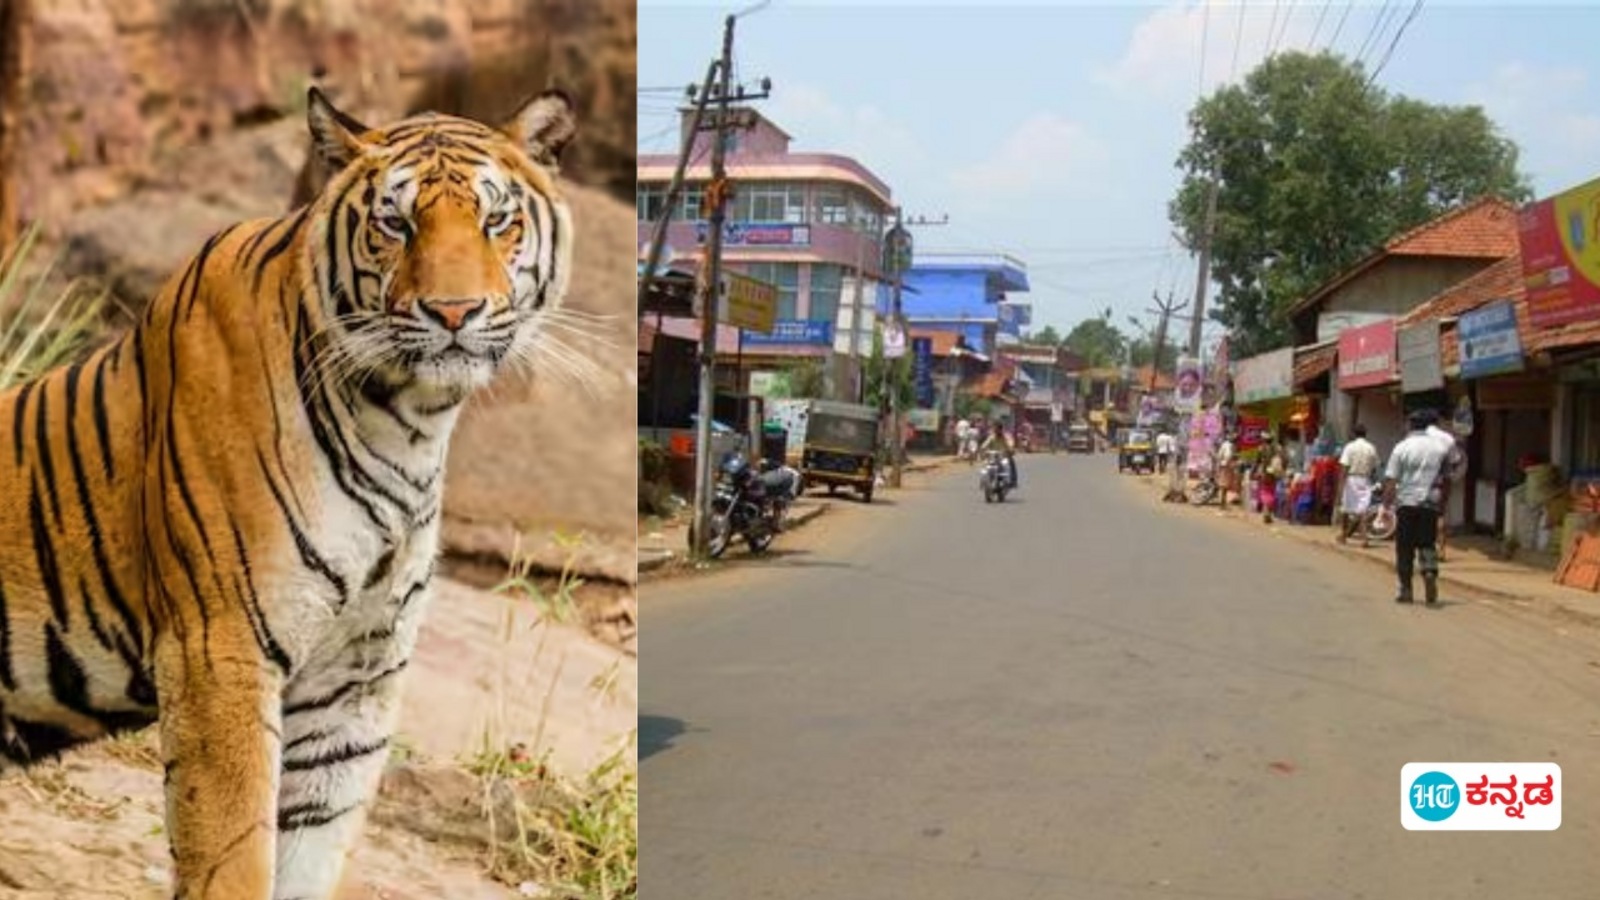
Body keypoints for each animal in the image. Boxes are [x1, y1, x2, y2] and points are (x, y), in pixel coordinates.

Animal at [0, 85, 578, 898]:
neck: (406, 425)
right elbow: (235, 853)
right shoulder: (219, 654)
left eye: (497, 221)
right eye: (395, 223)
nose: (453, 313)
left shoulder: (353, 685)